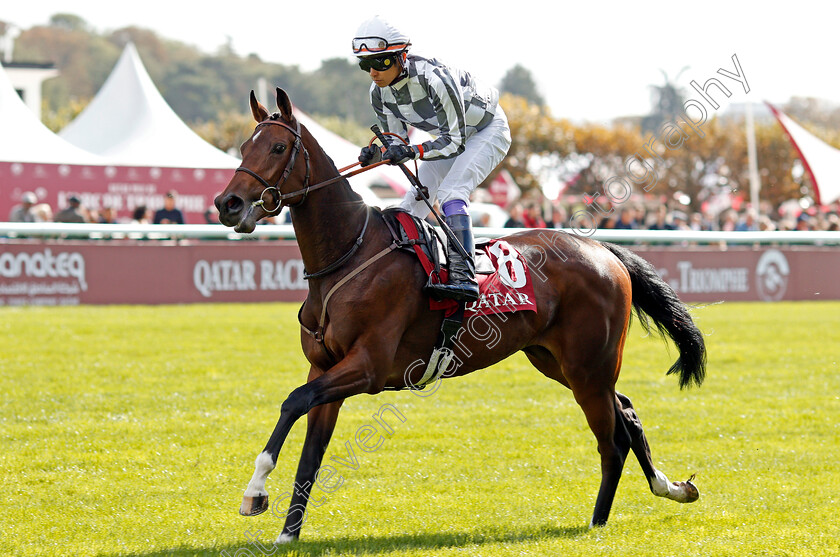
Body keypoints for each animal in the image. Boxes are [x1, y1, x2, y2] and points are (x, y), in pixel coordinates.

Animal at [213, 88, 704, 544]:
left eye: (278, 147)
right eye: (243, 145)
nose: (227, 203)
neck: (349, 254)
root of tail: (603, 249)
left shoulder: (368, 366)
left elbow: (293, 401)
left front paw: (255, 492)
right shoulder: (325, 367)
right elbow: (310, 453)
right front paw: (287, 534)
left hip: (589, 367)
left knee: (612, 439)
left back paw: (599, 521)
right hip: (557, 362)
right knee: (627, 412)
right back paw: (670, 488)